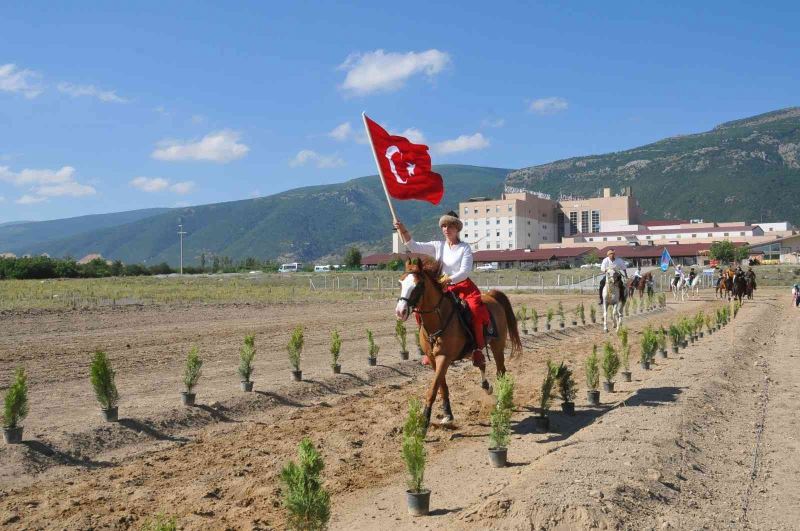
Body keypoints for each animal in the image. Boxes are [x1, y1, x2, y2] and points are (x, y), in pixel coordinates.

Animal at [396, 258, 520, 432]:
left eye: (418, 285)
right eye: (400, 282)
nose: (400, 311)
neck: (438, 320)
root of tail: (491, 296)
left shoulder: (444, 358)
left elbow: (433, 389)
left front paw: (424, 422)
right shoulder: (433, 359)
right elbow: (442, 387)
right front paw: (447, 414)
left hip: (497, 345)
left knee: (500, 371)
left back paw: (501, 402)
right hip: (476, 350)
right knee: (481, 363)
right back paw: (486, 386)